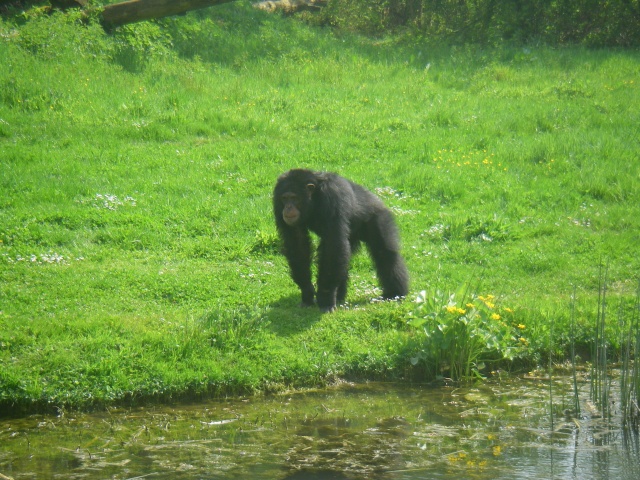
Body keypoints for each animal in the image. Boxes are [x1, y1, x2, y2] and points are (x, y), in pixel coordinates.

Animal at [272, 168, 408, 312]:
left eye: (294, 198)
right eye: (284, 198)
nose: (288, 207)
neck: (314, 198)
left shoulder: (333, 197)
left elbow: (334, 244)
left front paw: (325, 298)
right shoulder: (277, 201)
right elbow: (297, 242)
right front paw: (307, 291)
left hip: (380, 218)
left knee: (385, 253)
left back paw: (394, 293)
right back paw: (339, 297)